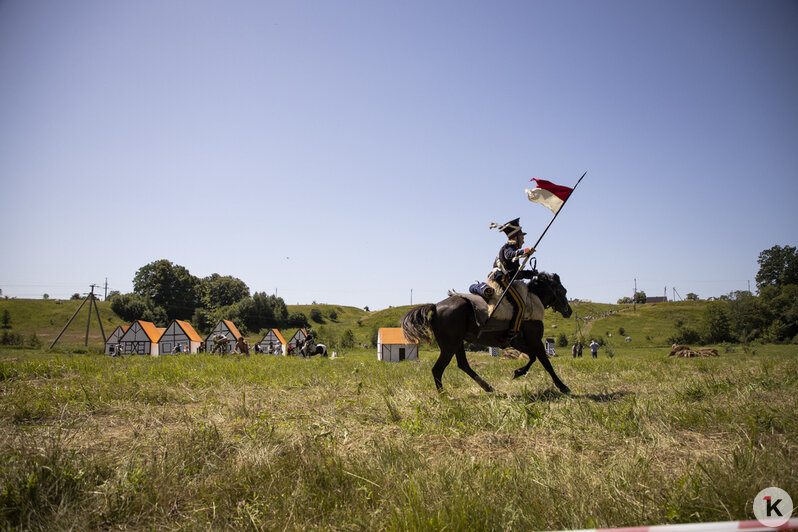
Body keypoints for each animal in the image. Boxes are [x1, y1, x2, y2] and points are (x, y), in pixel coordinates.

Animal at [404, 272, 572, 392]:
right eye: (562, 290)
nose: (568, 311)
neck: (533, 299)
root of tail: (436, 307)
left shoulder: (519, 342)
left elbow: (532, 357)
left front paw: (518, 372)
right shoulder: (535, 340)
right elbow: (545, 362)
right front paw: (562, 386)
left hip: (457, 343)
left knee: (463, 365)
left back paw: (487, 386)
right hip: (449, 346)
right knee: (438, 369)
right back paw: (445, 396)